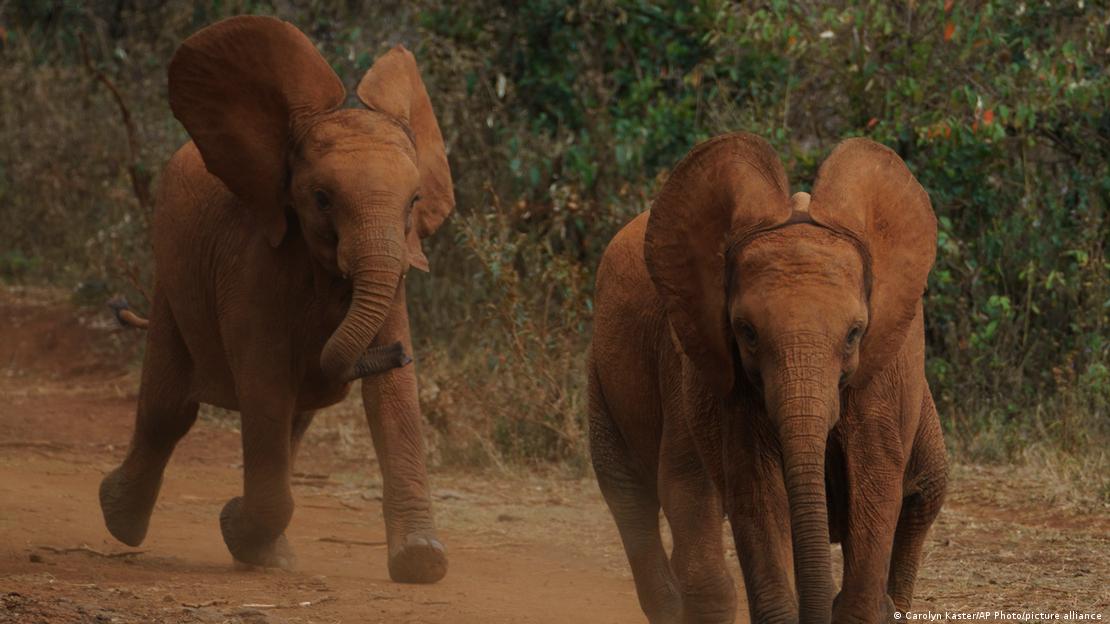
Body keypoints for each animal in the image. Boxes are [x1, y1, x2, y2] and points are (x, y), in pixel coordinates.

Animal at [98, 16, 453, 584]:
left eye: (415, 201)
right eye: (322, 199)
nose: (398, 353)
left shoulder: (397, 274)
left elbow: (391, 398)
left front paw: (421, 562)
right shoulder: (251, 265)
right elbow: (264, 384)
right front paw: (234, 523)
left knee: (294, 418)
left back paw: (267, 554)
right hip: (171, 281)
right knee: (169, 409)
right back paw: (122, 520)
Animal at [588, 133, 948, 623]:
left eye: (854, 333)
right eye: (747, 332)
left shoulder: (890, 363)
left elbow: (875, 480)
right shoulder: (709, 366)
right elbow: (752, 485)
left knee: (926, 490)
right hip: (600, 375)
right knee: (628, 492)